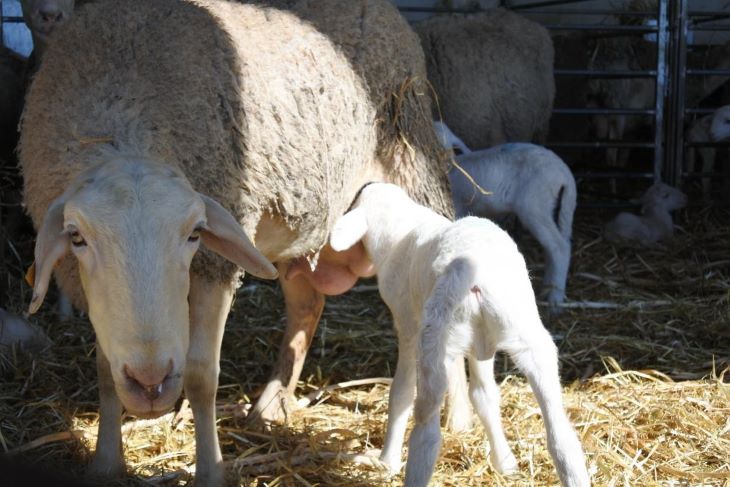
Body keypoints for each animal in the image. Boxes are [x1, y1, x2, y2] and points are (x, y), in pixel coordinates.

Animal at [19, 0, 452, 484]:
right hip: (298, 236)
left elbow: (201, 375)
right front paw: (105, 464)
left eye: (194, 232)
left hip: (415, 166)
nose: (150, 383)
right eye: (76, 237)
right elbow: (104, 372)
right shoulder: (99, 302)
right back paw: (272, 404)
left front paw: (211, 470)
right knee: (307, 305)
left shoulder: (215, 267)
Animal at [328, 183, 588, 487]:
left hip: (433, 341)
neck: (398, 227)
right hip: (526, 332)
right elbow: (484, 396)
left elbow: (400, 393)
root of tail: (467, 267)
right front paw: (505, 463)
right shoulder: (480, 345)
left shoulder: (407, 325)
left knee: (427, 430)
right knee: (560, 432)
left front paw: (386, 461)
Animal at [432, 124, 576, 310]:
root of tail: (564, 174)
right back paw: (549, 286)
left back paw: (555, 297)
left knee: (559, 247)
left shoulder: (459, 207)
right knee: (553, 246)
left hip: (535, 206)